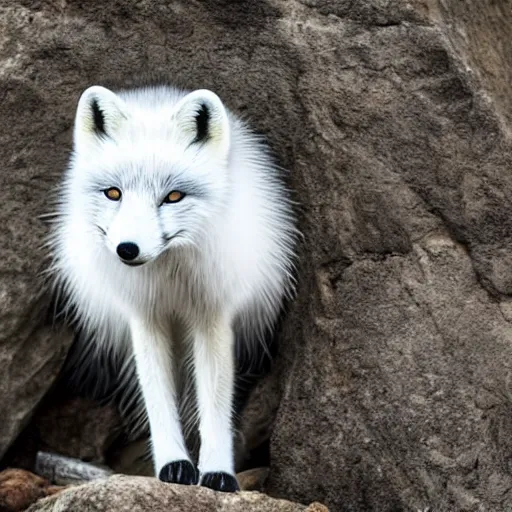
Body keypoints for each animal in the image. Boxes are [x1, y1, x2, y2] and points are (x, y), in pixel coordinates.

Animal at [47, 84, 300, 492]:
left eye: (174, 197)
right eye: (113, 193)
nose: (128, 249)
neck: (170, 280)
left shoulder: (213, 316)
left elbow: (215, 402)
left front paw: (217, 472)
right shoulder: (145, 318)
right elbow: (157, 399)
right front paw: (173, 464)